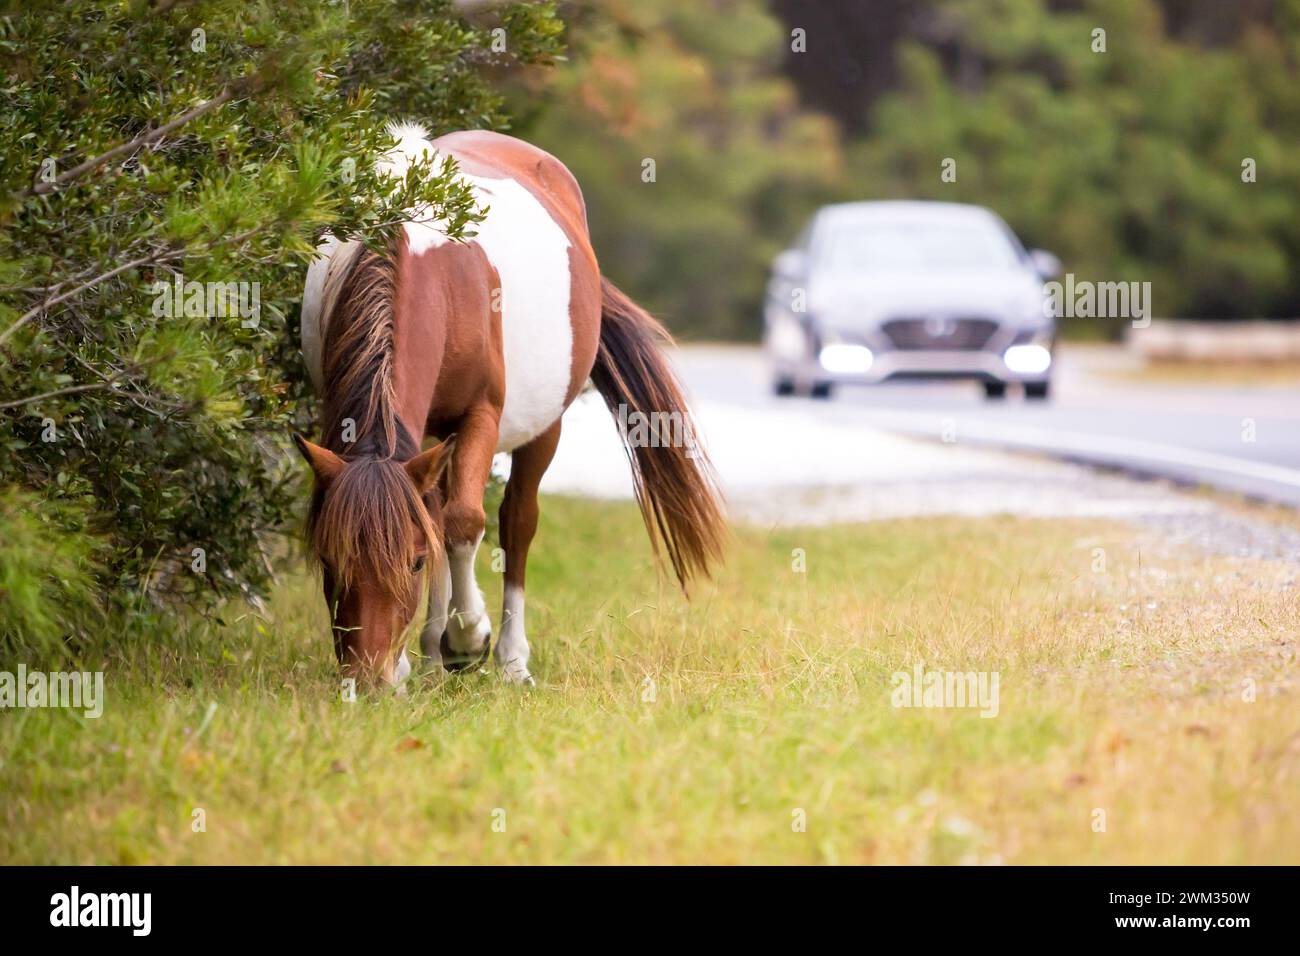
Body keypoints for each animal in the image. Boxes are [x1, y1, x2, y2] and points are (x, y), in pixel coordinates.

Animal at [294, 123, 726, 687]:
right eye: (329, 561)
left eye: (413, 563)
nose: (368, 680)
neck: (431, 270)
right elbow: (437, 520)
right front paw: (424, 654)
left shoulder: (480, 415)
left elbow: (464, 523)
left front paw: (467, 639)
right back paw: (430, 653)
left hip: (544, 430)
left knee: (517, 522)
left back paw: (510, 658)